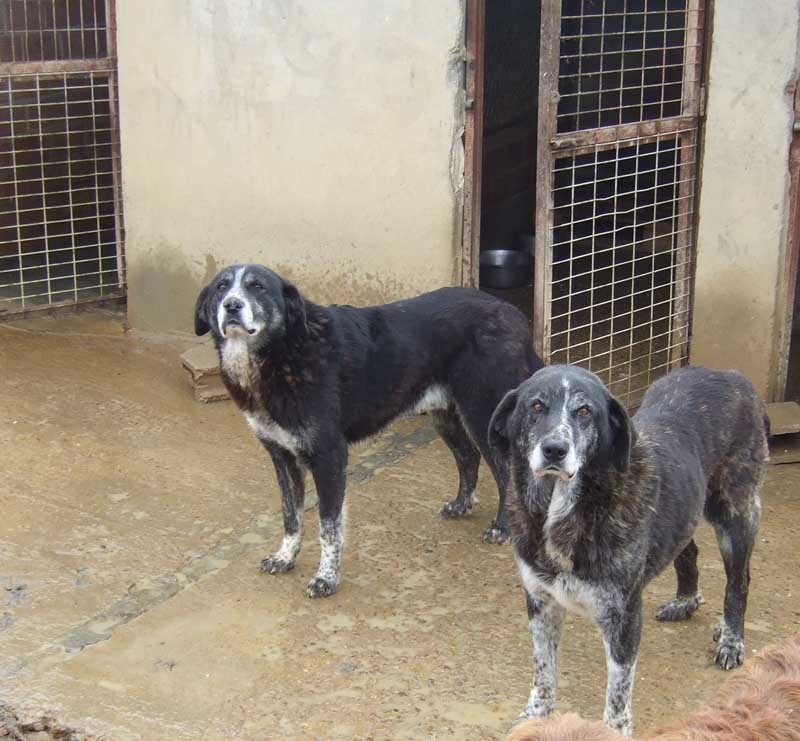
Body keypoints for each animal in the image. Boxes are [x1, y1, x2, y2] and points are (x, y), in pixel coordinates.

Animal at [195, 264, 544, 596]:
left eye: (257, 286)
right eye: (221, 287)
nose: (232, 305)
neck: (282, 353)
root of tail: (512, 312)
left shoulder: (329, 456)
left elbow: (329, 527)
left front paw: (325, 579)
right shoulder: (283, 456)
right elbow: (291, 516)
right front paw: (285, 557)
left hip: (483, 414)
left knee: (505, 473)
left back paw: (503, 528)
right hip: (445, 415)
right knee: (468, 457)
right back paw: (462, 504)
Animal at [488, 362, 768, 736]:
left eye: (584, 411)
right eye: (536, 406)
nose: (554, 449)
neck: (563, 507)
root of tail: (729, 374)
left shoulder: (622, 617)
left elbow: (618, 691)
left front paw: (613, 731)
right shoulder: (541, 601)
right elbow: (543, 667)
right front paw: (536, 713)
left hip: (735, 513)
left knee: (739, 582)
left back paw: (731, 638)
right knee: (687, 550)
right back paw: (685, 600)